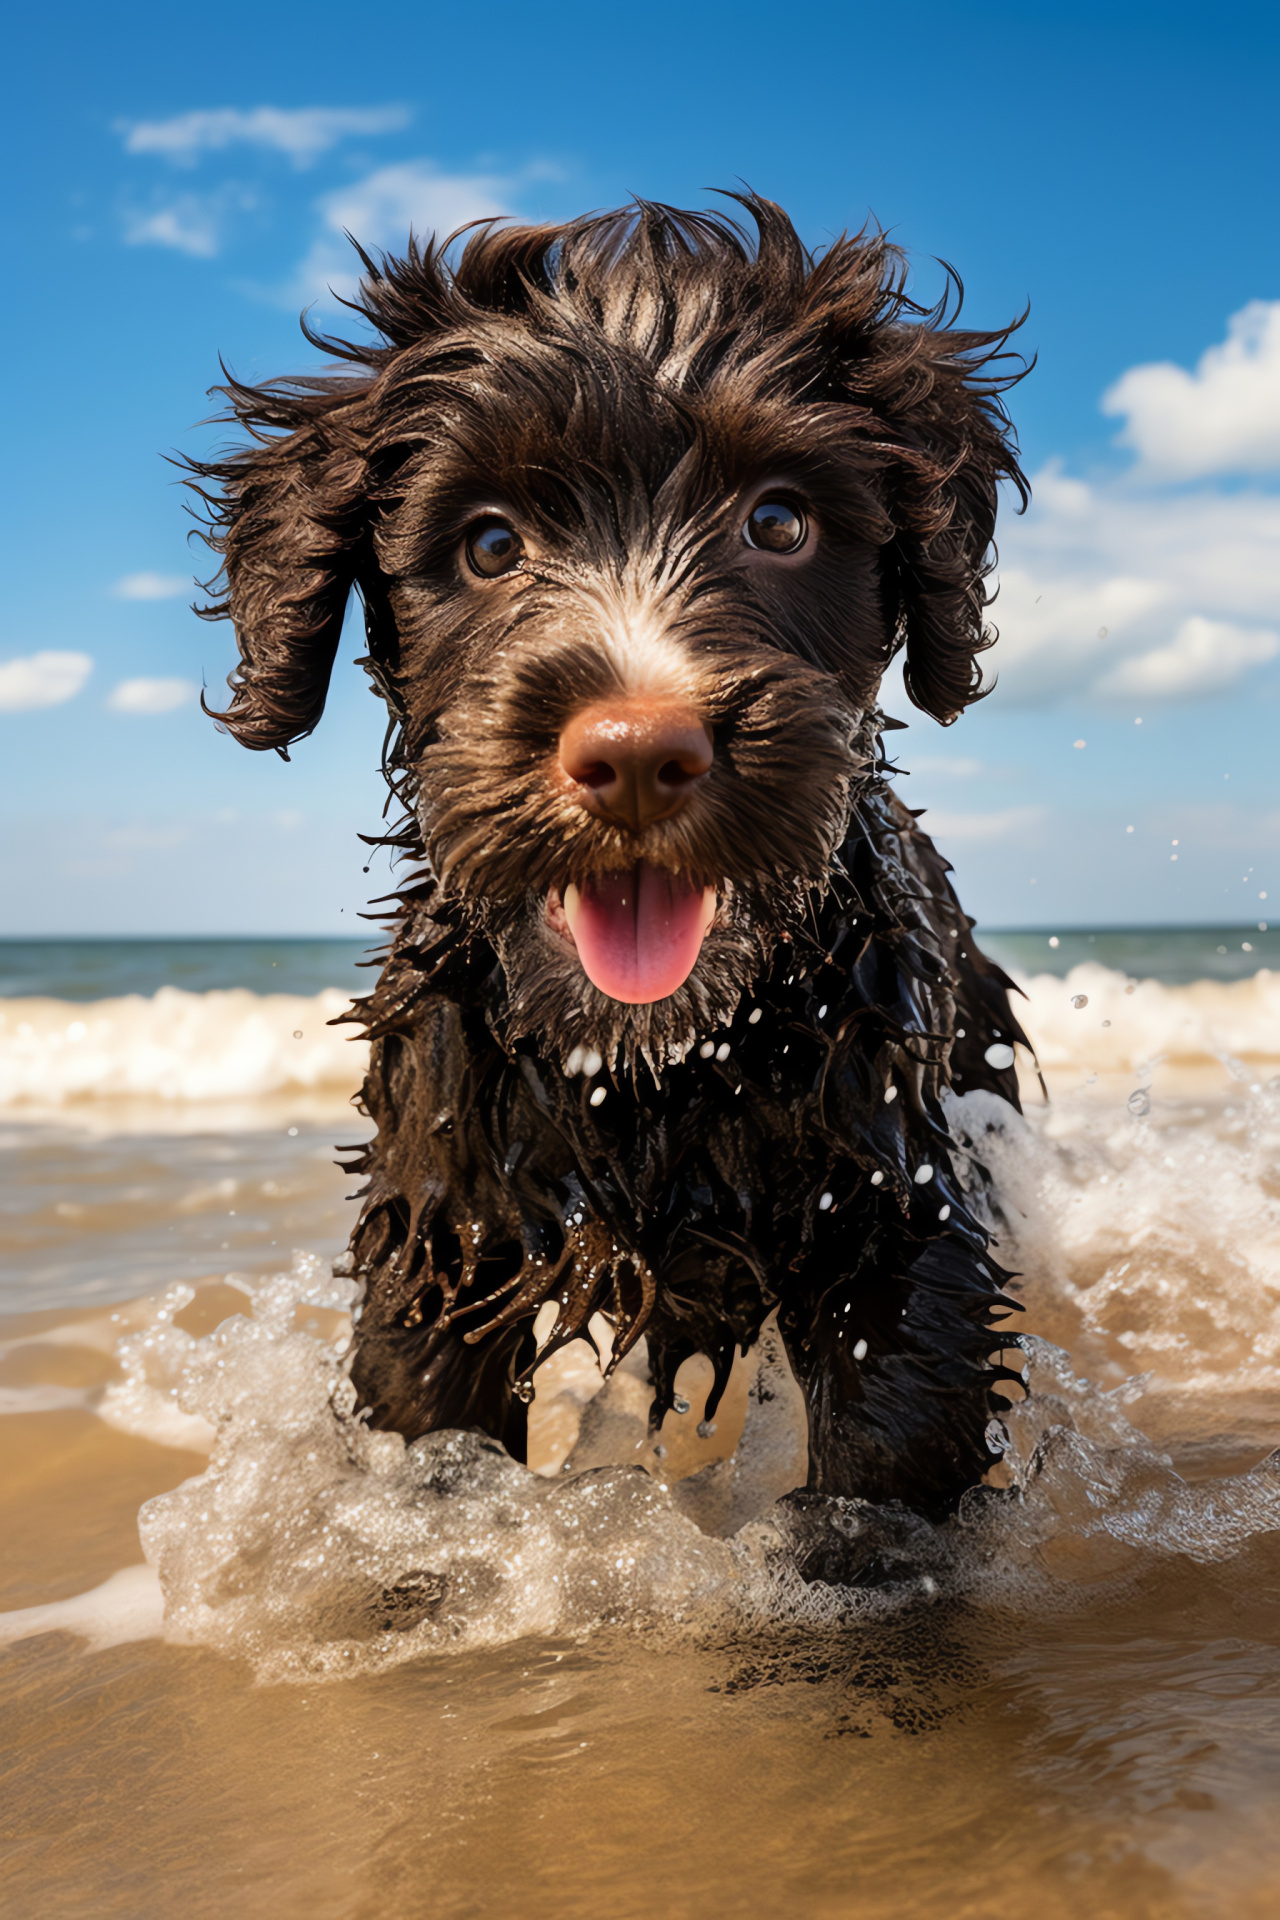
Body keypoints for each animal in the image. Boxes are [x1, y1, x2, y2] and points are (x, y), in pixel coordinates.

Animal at [195, 191, 1036, 1512]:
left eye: (779, 522)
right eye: (490, 546)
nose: (638, 752)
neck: (652, 1064)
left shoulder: (895, 1214)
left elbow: (888, 1457)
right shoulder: (441, 1224)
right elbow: (420, 1422)